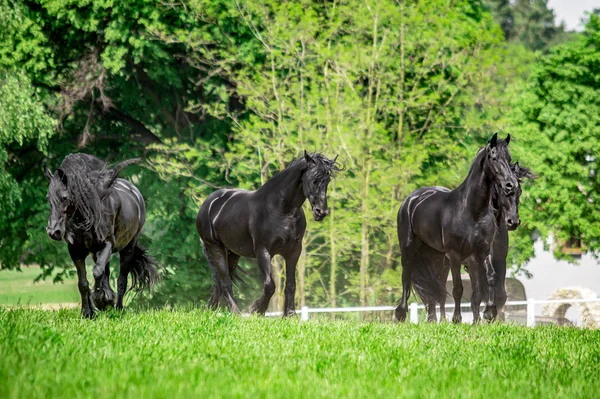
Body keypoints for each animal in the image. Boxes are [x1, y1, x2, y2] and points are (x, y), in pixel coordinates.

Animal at [45, 153, 159, 318]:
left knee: (121, 279)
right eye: (48, 197)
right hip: (96, 252)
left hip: (127, 248)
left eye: (65, 197)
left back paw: (118, 308)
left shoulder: (107, 244)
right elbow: (83, 283)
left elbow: (98, 272)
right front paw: (88, 312)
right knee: (106, 272)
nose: (53, 231)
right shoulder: (76, 251)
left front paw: (100, 301)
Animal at [197, 152, 338, 318]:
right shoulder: (263, 251)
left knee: (220, 282)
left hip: (232, 253)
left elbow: (291, 284)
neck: (282, 210)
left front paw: (290, 315)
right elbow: (270, 285)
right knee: (225, 281)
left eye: (327, 181)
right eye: (313, 179)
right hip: (215, 247)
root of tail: (209, 203)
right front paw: (256, 309)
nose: (321, 212)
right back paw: (236, 312)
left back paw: (210, 309)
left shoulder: (294, 251)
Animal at [396, 135, 516, 324]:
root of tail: (412, 199)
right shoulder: (455, 255)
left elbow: (490, 279)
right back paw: (400, 314)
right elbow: (458, 288)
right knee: (406, 278)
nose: (510, 185)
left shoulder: (482, 252)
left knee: (437, 290)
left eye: (509, 158)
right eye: (494, 157)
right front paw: (457, 318)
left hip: (437, 257)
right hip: (408, 249)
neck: (472, 211)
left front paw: (489, 312)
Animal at [440, 161, 540, 324]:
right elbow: (479, 293)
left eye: (519, 192)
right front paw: (483, 317)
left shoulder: (499, 261)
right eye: (504, 191)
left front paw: (493, 318)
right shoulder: (476, 261)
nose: (513, 222)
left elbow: (499, 293)